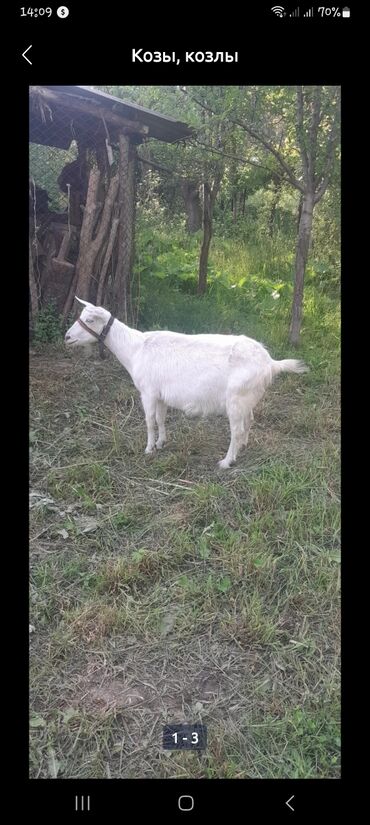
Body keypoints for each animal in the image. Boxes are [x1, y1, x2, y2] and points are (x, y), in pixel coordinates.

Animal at [65, 300, 308, 470]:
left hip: (235, 398)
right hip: (247, 398)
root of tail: (270, 363)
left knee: (237, 429)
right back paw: (243, 447)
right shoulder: (160, 395)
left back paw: (226, 461)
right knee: (249, 420)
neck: (135, 349)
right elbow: (160, 419)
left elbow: (149, 421)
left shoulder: (148, 392)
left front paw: (148, 449)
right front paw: (161, 443)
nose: (67, 337)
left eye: (89, 320)